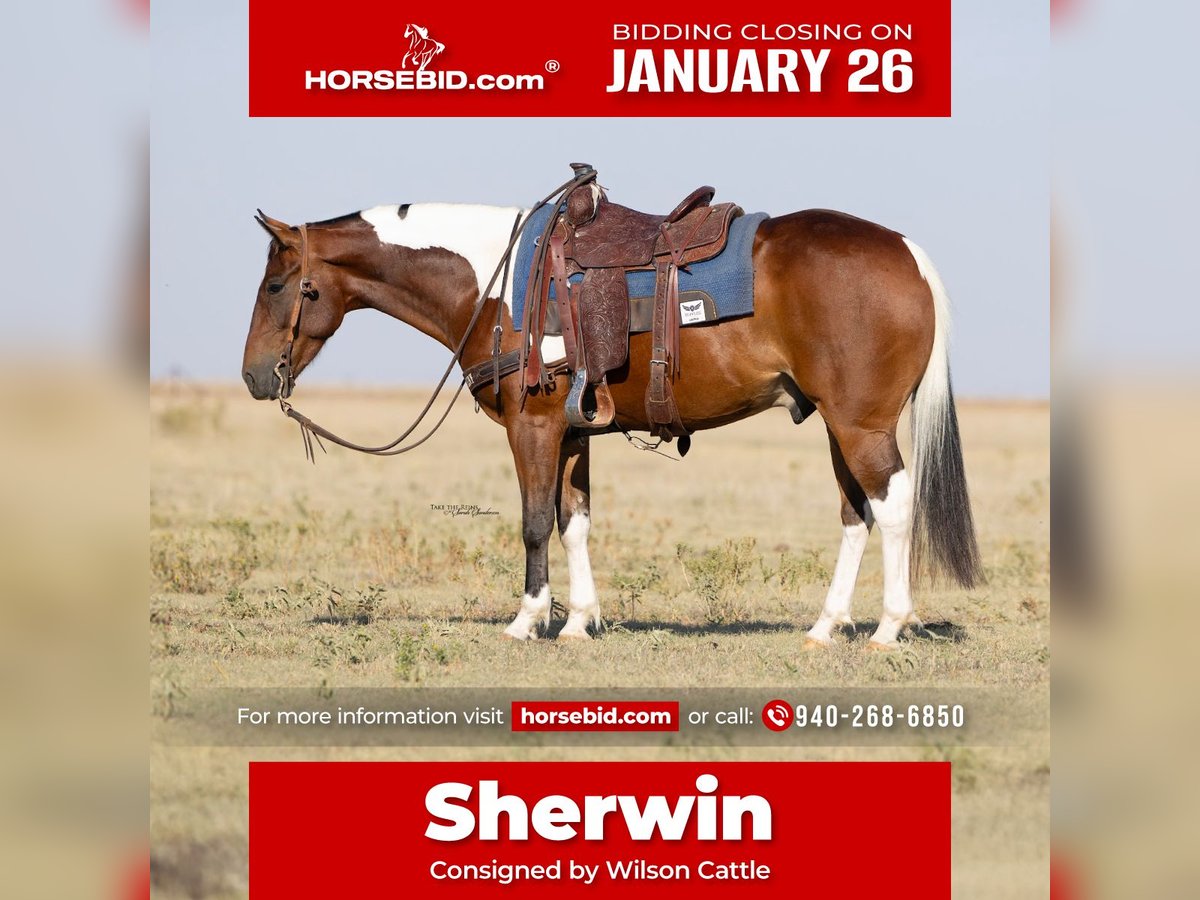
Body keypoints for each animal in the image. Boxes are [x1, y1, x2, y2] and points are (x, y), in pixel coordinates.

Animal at [241, 190, 983, 650]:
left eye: (277, 285)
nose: (254, 377)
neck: (500, 285)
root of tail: (906, 252)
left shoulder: (533, 428)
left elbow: (534, 521)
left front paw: (528, 620)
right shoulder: (573, 432)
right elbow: (574, 521)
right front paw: (578, 622)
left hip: (860, 426)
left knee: (891, 506)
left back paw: (889, 628)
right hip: (837, 425)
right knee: (856, 515)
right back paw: (827, 627)